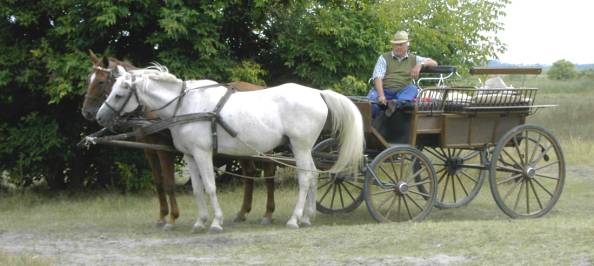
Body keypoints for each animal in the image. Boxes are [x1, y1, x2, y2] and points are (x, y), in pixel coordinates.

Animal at [82, 50, 276, 229]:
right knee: (249, 172)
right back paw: (243, 212)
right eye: (88, 80)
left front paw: (172, 218)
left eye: (101, 82)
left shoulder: (163, 149)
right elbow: (159, 183)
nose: (88, 113)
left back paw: (268, 213)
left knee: (269, 173)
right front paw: (162, 216)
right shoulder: (149, 150)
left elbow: (169, 183)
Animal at [96, 65, 364, 232]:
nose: (99, 117)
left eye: (118, 93)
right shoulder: (189, 156)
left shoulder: (203, 153)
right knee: (313, 175)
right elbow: (197, 189)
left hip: (300, 146)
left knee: (305, 178)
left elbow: (210, 187)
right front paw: (200, 221)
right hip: (303, 149)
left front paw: (215, 222)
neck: (186, 106)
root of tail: (318, 93)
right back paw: (307, 217)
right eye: (110, 88)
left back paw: (294, 219)